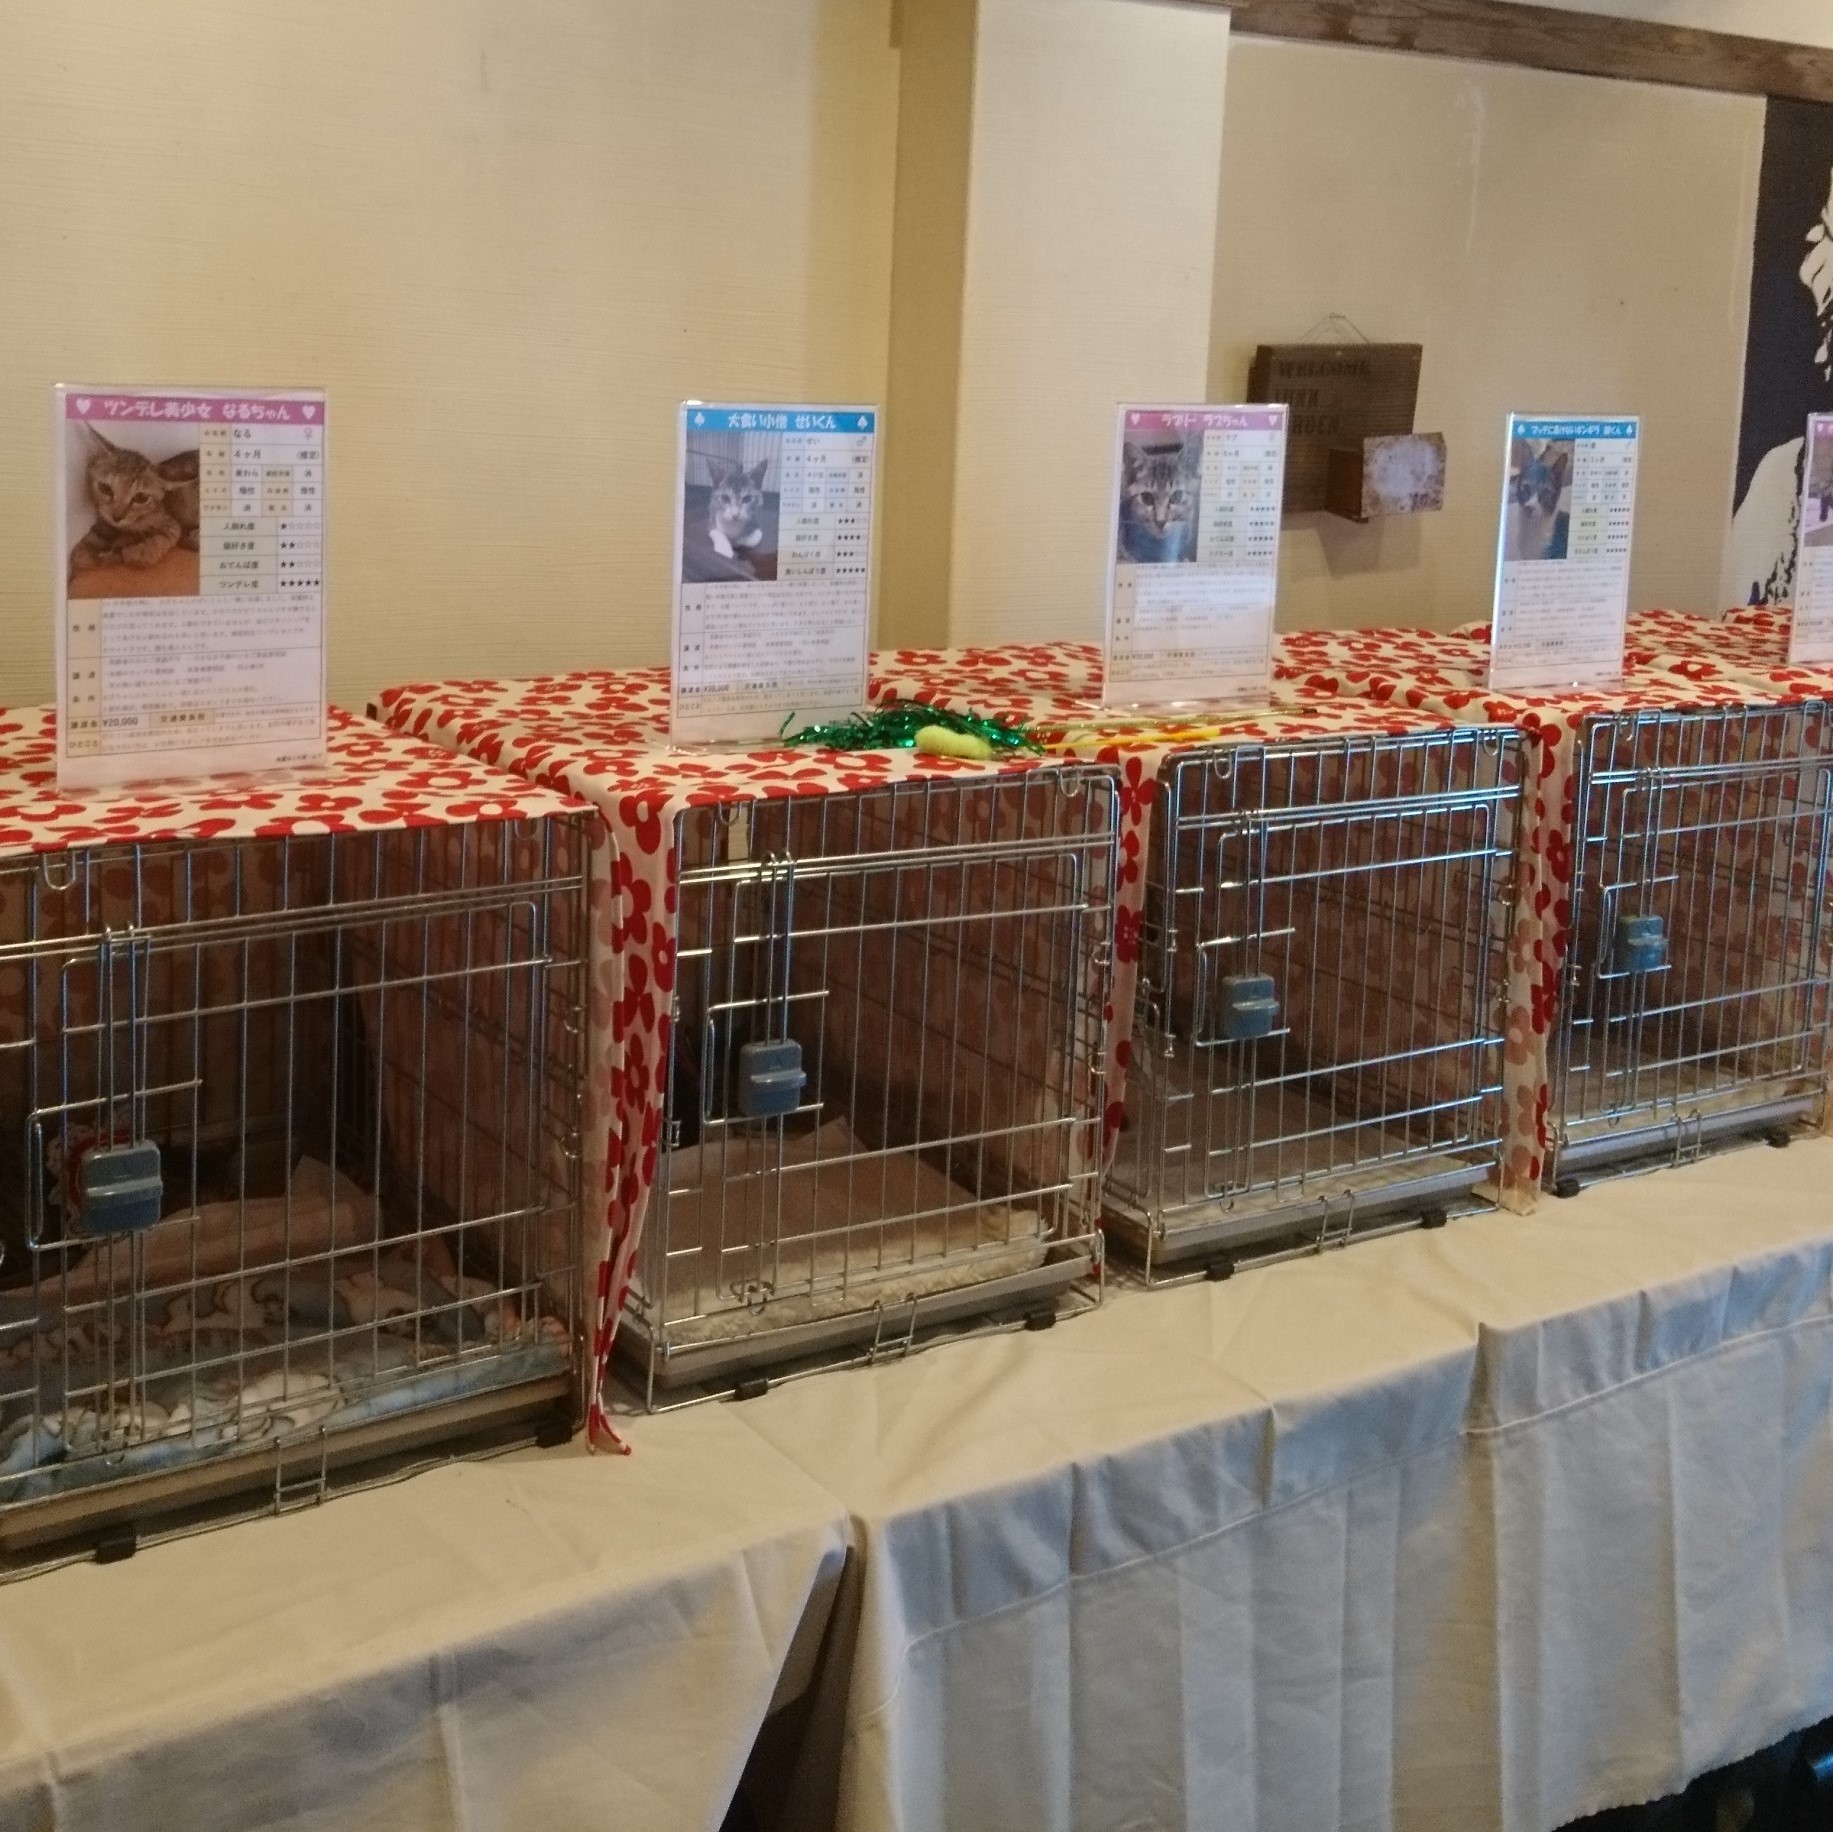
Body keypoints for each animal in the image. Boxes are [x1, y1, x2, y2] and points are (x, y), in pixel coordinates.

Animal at [69, 427, 201, 577]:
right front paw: (89, 550)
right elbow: (87, 548)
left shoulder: (172, 525)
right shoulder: (105, 520)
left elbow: (158, 543)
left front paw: (136, 552)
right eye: (105, 488)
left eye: (141, 498)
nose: (117, 517)